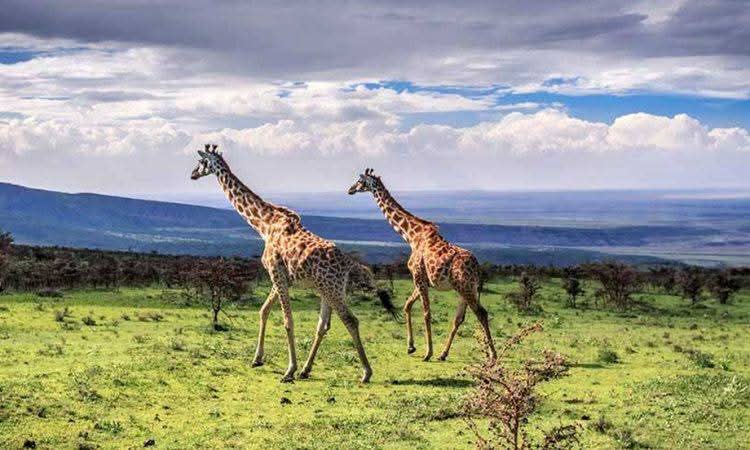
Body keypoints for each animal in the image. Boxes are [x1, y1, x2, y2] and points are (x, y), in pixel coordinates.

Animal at [191, 146, 397, 383]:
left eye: (201, 161)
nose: (193, 174)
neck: (264, 225)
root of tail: (348, 263)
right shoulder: (281, 277)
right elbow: (263, 311)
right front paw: (257, 359)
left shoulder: (276, 273)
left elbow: (287, 321)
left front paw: (288, 370)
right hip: (328, 289)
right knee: (323, 325)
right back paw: (306, 370)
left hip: (332, 289)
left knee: (350, 320)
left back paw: (365, 373)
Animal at [348, 168, 497, 362]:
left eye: (360, 180)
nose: (350, 190)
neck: (412, 236)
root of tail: (478, 268)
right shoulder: (423, 280)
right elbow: (407, 305)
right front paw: (411, 347)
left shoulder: (417, 276)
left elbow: (426, 313)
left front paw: (427, 353)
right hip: (463, 289)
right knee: (459, 318)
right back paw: (443, 354)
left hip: (465, 287)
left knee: (481, 313)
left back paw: (493, 355)